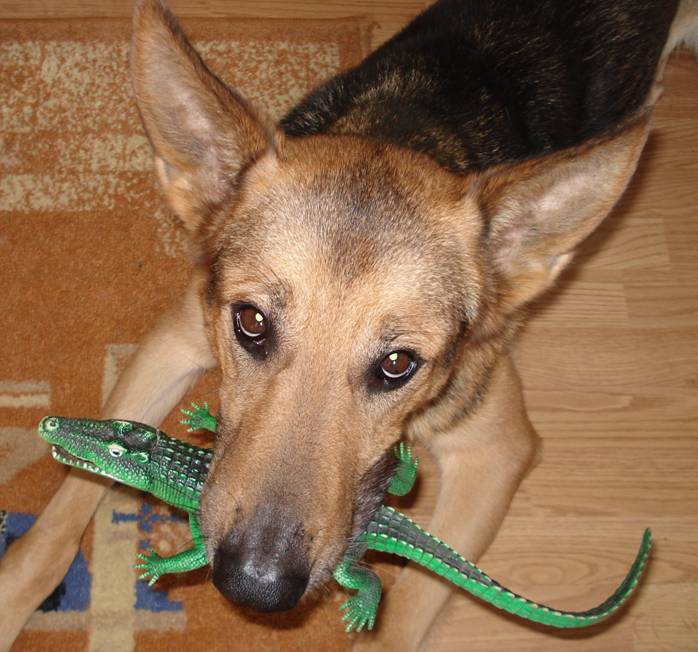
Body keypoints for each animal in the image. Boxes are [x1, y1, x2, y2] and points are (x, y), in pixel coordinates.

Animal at [2, 0, 697, 649]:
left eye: (397, 364)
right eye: (250, 322)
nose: (254, 585)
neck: (407, 127)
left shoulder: (495, 452)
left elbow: (409, 608)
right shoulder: (176, 339)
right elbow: (62, 510)